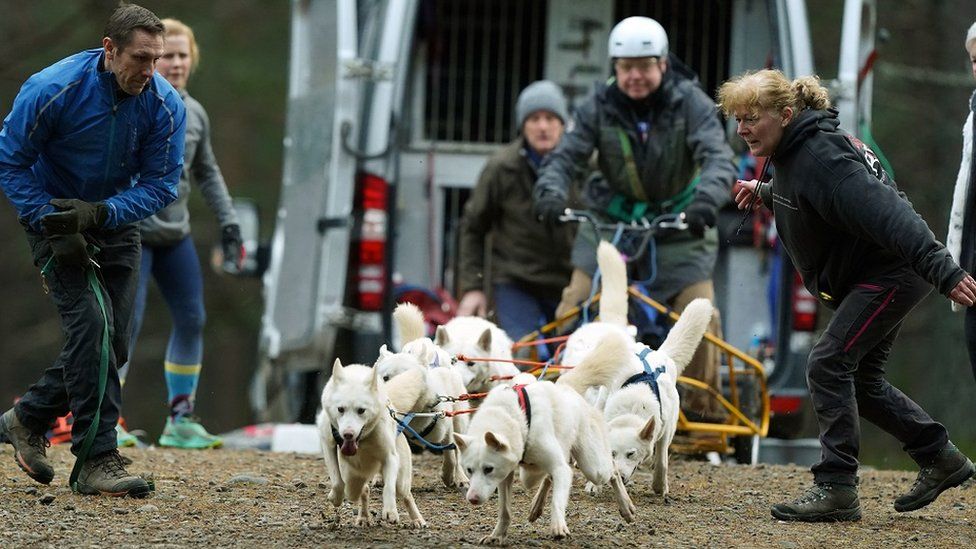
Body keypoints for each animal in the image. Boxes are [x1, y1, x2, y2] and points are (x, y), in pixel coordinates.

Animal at [316, 356, 428, 528]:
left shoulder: (390, 457)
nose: (348, 434)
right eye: (340, 409)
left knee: (405, 494)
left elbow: (389, 487)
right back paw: (363, 516)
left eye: (361, 410)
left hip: (401, 479)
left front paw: (390, 511)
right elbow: (336, 481)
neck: (361, 442)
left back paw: (417, 519)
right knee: (362, 490)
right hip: (350, 475)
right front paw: (335, 497)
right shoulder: (328, 444)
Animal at [372, 302, 470, 486]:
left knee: (459, 453)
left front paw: (448, 475)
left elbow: (451, 455)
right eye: (385, 378)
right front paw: (378, 476)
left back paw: (461, 477)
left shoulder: (446, 428)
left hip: (459, 419)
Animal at [454, 334, 636, 544]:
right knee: (548, 477)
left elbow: (557, 501)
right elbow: (505, 510)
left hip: (594, 468)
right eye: (469, 470)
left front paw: (558, 526)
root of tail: (566, 387)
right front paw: (497, 534)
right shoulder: (506, 474)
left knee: (612, 470)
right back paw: (536, 507)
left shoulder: (561, 469)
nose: (472, 499)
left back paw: (626, 507)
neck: (515, 417)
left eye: (488, 469)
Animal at [560, 240, 712, 496]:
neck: (633, 406)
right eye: (613, 453)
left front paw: (659, 484)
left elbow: (661, 459)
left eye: (631, 454)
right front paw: (594, 484)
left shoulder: (665, 431)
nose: (620, 476)